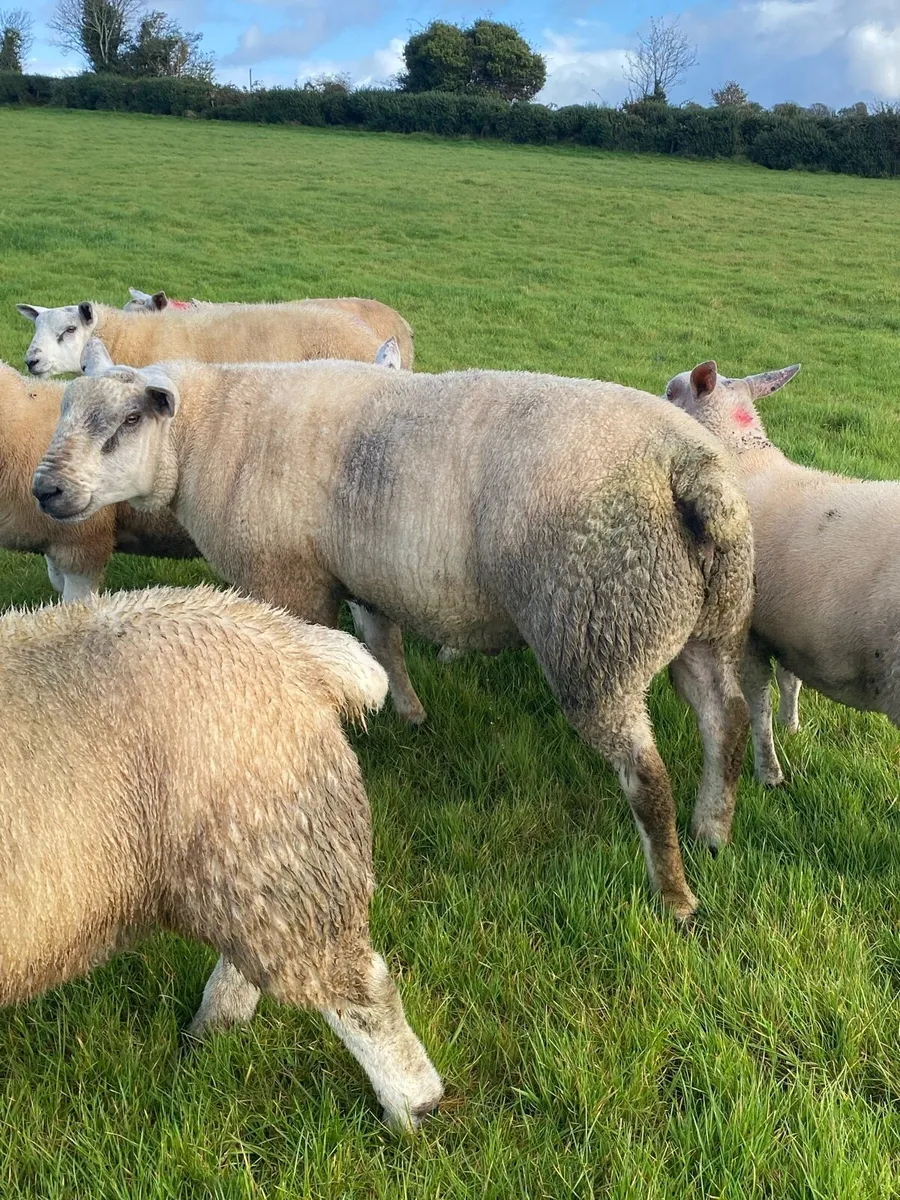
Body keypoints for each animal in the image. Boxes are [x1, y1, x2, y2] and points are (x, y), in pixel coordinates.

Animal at [0, 583, 443, 1129]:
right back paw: (214, 1028)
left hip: (280, 848)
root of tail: (295, 645)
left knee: (359, 987)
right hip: (250, 861)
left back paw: (412, 1104)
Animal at [35, 360, 754, 922]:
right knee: (729, 720)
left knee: (646, 775)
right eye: (65, 412)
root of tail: (691, 470)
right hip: (706, 621)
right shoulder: (361, 575)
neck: (209, 434)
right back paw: (713, 830)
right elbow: (383, 644)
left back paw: (675, 895)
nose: (45, 489)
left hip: (596, 629)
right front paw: (408, 714)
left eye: (128, 422)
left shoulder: (288, 579)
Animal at [664, 359, 900, 785]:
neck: (741, 456)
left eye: (672, 392)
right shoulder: (789, 632)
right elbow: (791, 682)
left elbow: (758, 703)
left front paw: (767, 773)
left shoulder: (751, 633)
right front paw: (792, 729)